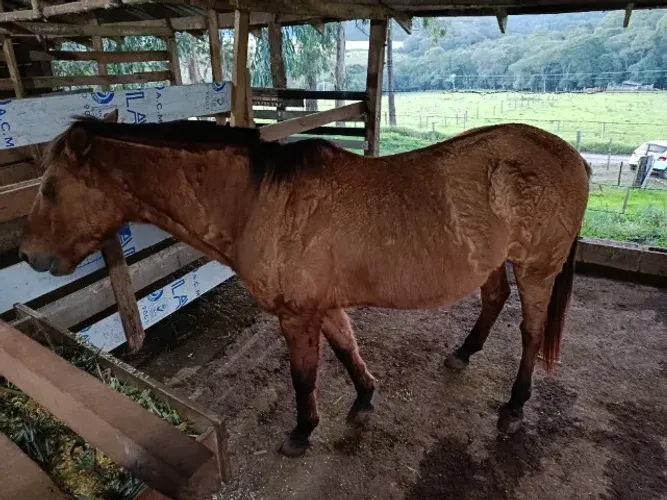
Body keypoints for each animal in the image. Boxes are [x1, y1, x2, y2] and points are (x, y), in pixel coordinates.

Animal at [19, 109, 590, 457]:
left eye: (49, 189)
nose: (27, 254)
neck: (260, 202)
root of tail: (572, 157)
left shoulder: (296, 315)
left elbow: (303, 375)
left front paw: (302, 431)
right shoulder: (321, 306)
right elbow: (347, 348)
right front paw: (364, 399)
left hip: (538, 269)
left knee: (530, 334)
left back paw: (514, 408)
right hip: (493, 264)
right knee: (493, 301)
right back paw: (462, 354)